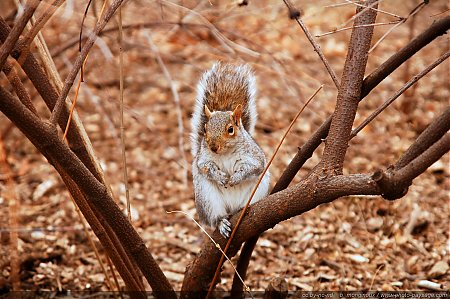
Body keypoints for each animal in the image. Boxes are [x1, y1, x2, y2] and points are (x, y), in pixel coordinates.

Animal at [191, 62, 270, 239]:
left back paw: (242, 209)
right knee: (216, 217)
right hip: (207, 198)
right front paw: (219, 176)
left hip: (258, 191)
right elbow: (204, 167)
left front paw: (236, 178)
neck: (225, 153)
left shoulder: (254, 157)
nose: (213, 146)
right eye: (205, 129)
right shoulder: (203, 158)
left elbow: (253, 167)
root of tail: (232, 207)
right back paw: (222, 223)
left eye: (230, 129)